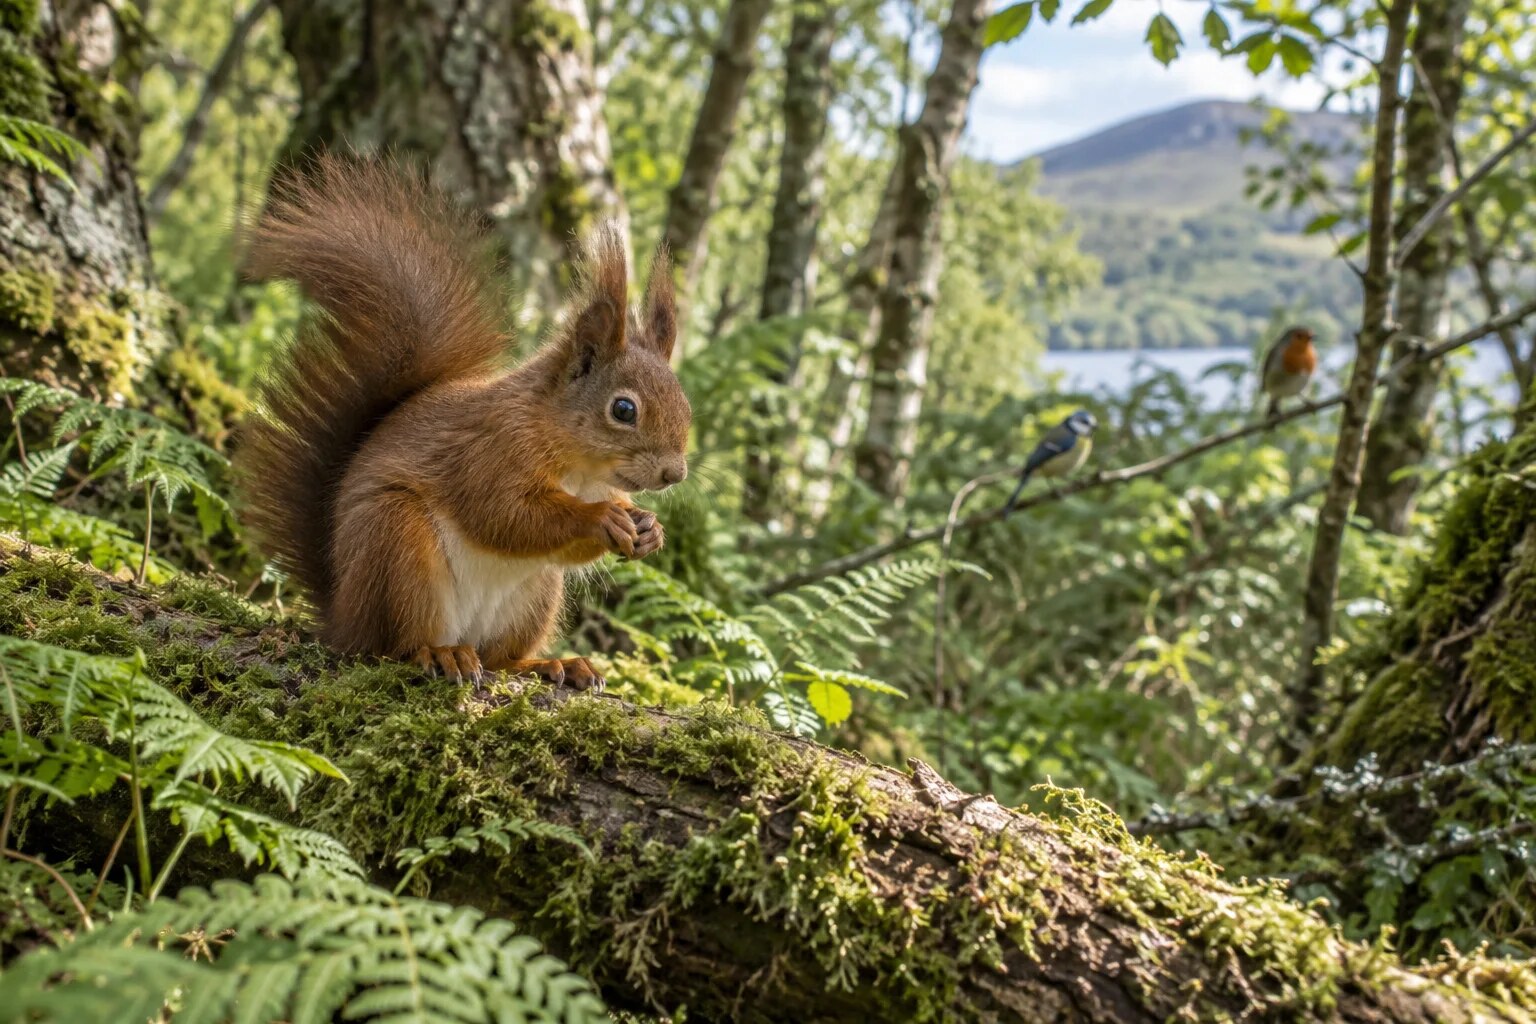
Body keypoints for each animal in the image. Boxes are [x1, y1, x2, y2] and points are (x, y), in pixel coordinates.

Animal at [238, 155, 690, 690]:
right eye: (623, 410)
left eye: (685, 404)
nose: (674, 474)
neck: (578, 468)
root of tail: (342, 616)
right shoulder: (489, 449)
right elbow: (504, 516)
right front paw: (602, 518)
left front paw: (648, 528)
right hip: (396, 547)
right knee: (393, 646)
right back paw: (440, 654)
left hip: (534, 595)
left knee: (498, 657)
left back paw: (552, 664)